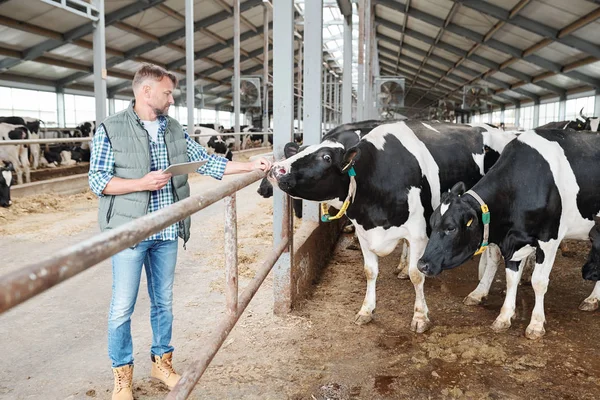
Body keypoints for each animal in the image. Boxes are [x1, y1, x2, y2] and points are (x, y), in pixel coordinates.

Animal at [270, 121, 512, 332]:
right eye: (302, 149)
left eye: (326, 157)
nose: (276, 168)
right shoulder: (363, 231)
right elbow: (370, 271)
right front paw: (366, 310)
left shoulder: (418, 234)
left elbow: (417, 274)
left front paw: (420, 317)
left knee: (493, 256)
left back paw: (479, 291)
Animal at [418, 127, 600, 338]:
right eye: (432, 222)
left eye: (451, 228)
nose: (422, 264)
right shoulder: (514, 241)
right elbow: (511, 278)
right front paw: (504, 316)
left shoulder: (549, 240)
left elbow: (539, 281)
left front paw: (536, 324)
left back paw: (592, 299)